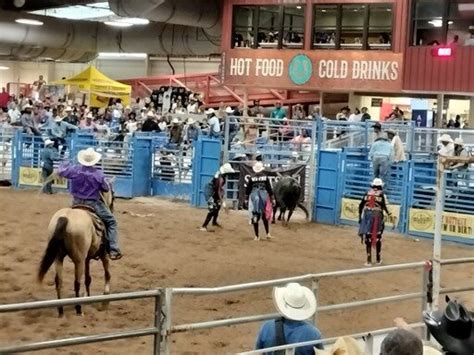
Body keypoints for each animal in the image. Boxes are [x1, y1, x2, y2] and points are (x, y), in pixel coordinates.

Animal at [37, 189, 114, 318]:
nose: (112, 209)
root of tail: (66, 217)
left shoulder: (87, 258)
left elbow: (88, 279)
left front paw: (89, 298)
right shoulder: (103, 254)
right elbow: (107, 274)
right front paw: (105, 301)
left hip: (59, 257)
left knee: (59, 281)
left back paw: (61, 311)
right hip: (79, 260)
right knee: (76, 283)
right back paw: (78, 309)